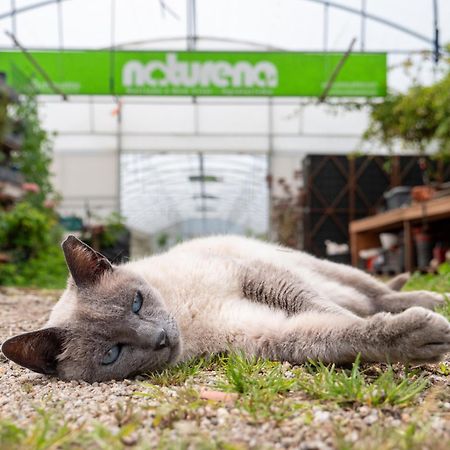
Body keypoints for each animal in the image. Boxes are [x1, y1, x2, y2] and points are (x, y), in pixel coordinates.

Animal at [2, 234, 450, 382]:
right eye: (112, 353)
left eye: (136, 302)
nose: (160, 338)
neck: (187, 320)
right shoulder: (268, 335)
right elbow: (342, 331)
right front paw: (419, 339)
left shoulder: (259, 277)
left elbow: (338, 315)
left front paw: (424, 327)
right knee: (362, 301)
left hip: (322, 267)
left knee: (373, 293)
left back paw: (430, 298)